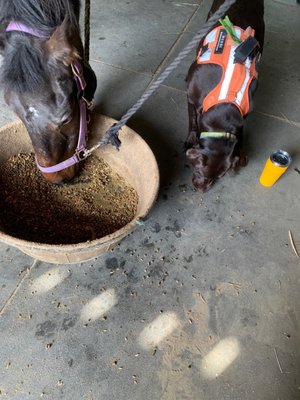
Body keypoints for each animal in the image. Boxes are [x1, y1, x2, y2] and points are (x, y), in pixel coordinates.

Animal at [185, 0, 264, 192]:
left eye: (219, 176)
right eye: (200, 171)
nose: (201, 190)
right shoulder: (191, 97)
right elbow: (192, 121)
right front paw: (191, 138)